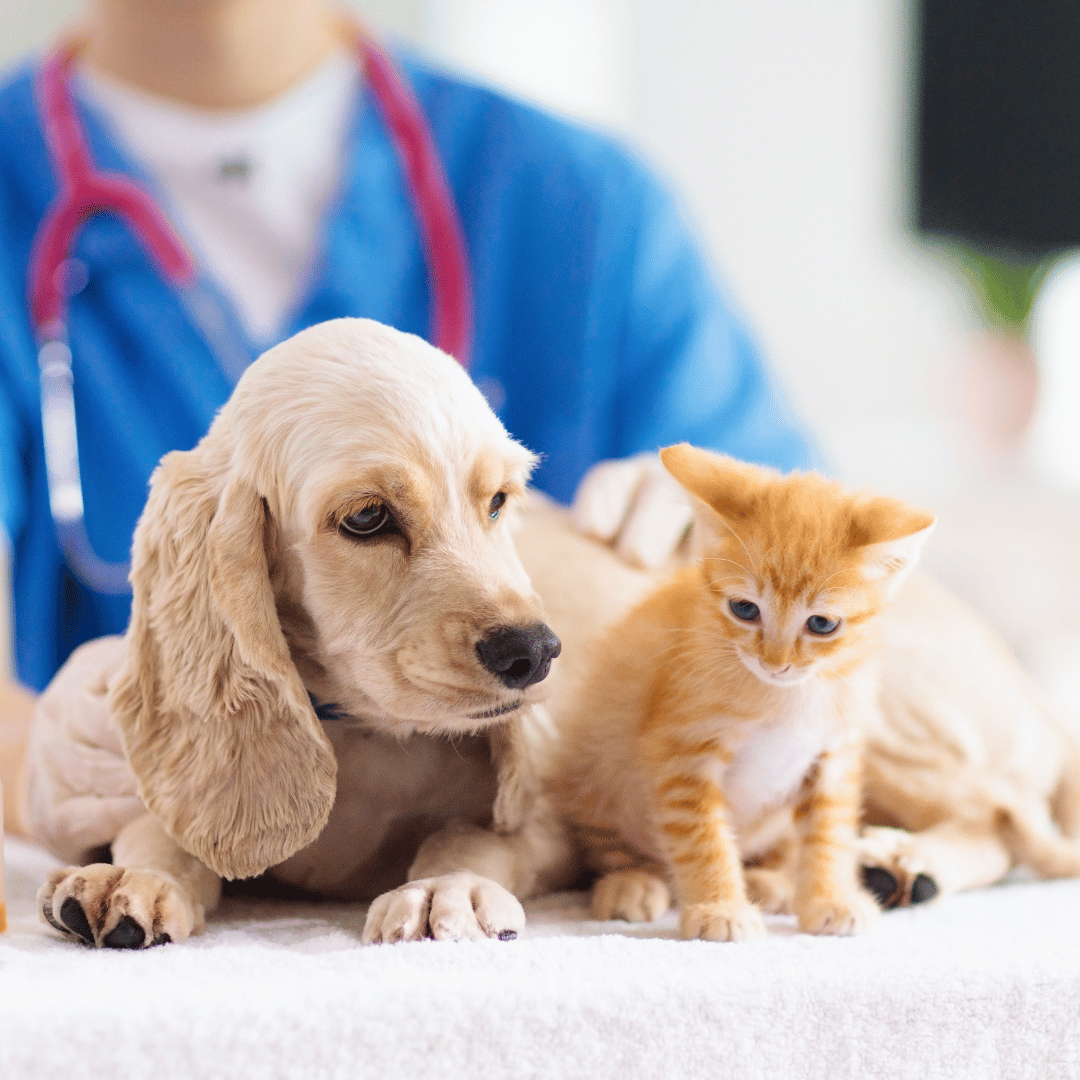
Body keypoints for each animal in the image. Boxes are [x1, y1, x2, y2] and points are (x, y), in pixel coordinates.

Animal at [557, 442, 937, 941]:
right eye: (744, 609)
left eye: (821, 623)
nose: (774, 663)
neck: (788, 697)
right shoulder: (682, 755)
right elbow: (703, 838)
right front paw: (720, 909)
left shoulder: (833, 755)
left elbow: (829, 832)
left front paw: (829, 898)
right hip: (597, 768)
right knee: (609, 842)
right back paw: (631, 882)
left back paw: (769, 880)